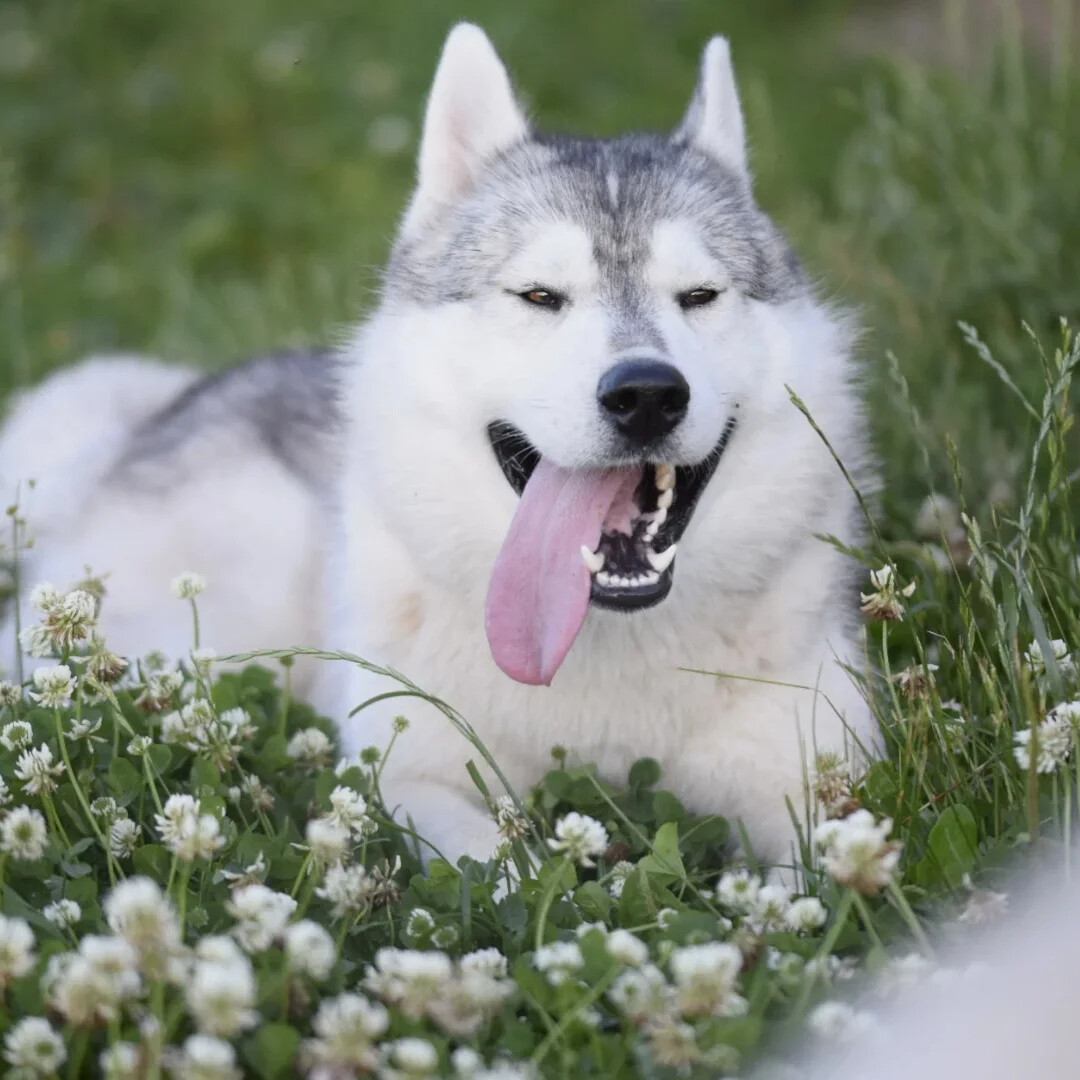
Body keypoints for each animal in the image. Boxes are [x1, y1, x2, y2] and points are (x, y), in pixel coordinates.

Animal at [0, 25, 876, 864]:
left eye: (699, 295)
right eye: (539, 296)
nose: (646, 395)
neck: (603, 650)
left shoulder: (819, 787)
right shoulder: (415, 777)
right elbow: (506, 876)